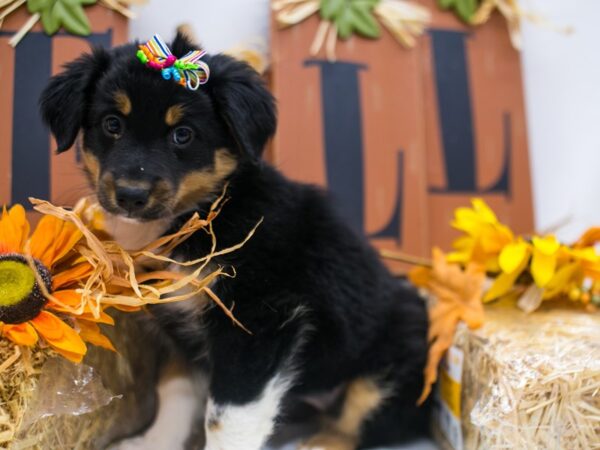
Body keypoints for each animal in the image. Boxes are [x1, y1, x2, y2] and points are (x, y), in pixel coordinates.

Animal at [38, 32, 432, 450]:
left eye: (183, 134)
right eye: (112, 124)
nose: (131, 195)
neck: (201, 215)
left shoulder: (258, 323)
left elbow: (227, 417)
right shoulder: (183, 328)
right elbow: (174, 390)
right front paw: (153, 441)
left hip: (390, 360)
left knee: (360, 422)